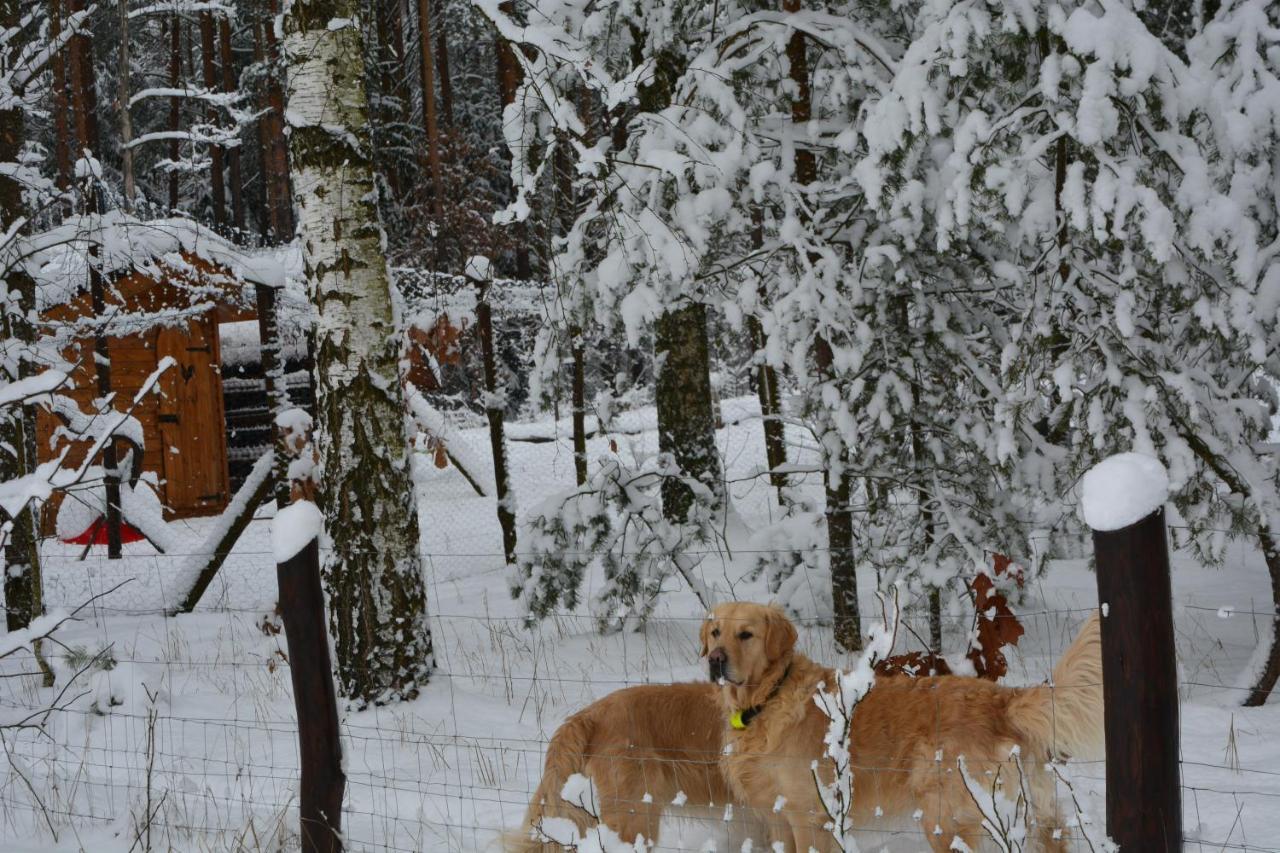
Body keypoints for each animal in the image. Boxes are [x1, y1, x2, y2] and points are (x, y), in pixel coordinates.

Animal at [701, 601, 1100, 845]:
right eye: (716, 632)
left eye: (746, 634)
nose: (715, 660)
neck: (768, 698)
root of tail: (999, 697)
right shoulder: (776, 818)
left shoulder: (809, 816)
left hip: (945, 815)